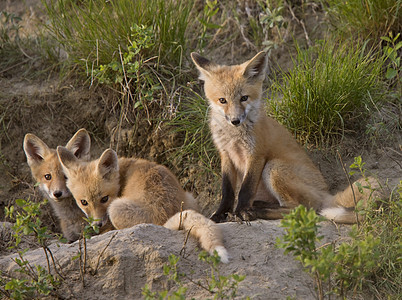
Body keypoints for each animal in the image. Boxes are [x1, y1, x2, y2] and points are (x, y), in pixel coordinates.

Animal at [55, 147, 229, 262]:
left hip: (116, 209)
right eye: (84, 202)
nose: (97, 224)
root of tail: (163, 219)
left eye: (104, 199)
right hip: (190, 198)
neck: (121, 173)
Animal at [191, 51, 376, 223]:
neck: (234, 136)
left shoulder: (256, 154)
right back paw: (258, 206)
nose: (235, 120)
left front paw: (241, 212)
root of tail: (326, 194)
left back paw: (256, 211)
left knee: (299, 209)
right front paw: (220, 214)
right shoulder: (226, 154)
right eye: (222, 100)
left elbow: (245, 189)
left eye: (244, 98)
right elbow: (227, 192)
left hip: (273, 167)